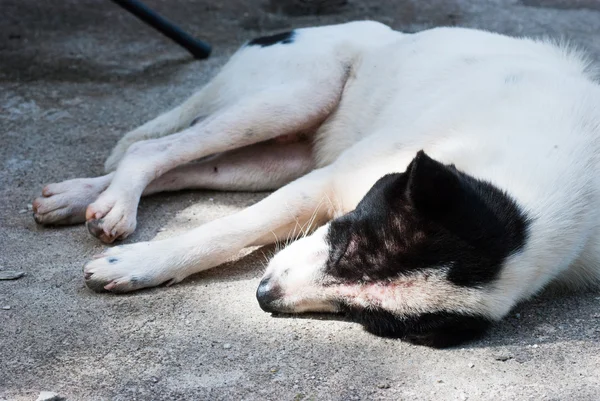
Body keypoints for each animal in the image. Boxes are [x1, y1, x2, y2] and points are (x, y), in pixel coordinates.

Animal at [31, 21, 600, 346]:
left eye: (362, 316)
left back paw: (79, 198)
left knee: (177, 166)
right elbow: (228, 230)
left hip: (275, 158)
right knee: (151, 149)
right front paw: (143, 264)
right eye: (348, 247)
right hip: (297, 94)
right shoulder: (327, 183)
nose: (263, 296)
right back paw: (113, 207)